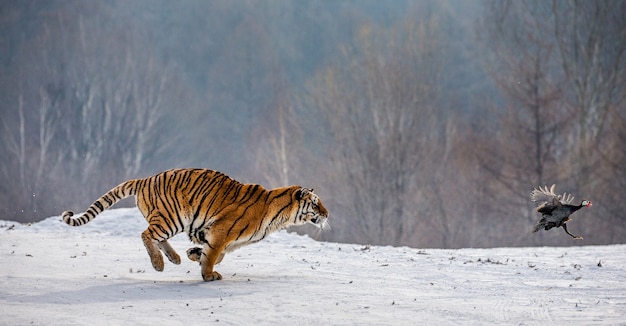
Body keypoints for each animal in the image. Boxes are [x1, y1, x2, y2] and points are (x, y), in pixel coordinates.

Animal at [61, 168, 330, 280]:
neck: (279, 215)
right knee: (146, 234)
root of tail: (144, 179)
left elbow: (217, 254)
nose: (327, 214)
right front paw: (208, 274)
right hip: (171, 217)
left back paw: (175, 258)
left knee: (156, 237)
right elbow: (213, 256)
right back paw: (159, 264)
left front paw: (193, 254)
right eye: (316, 203)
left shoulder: (220, 237)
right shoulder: (221, 231)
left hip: (170, 220)